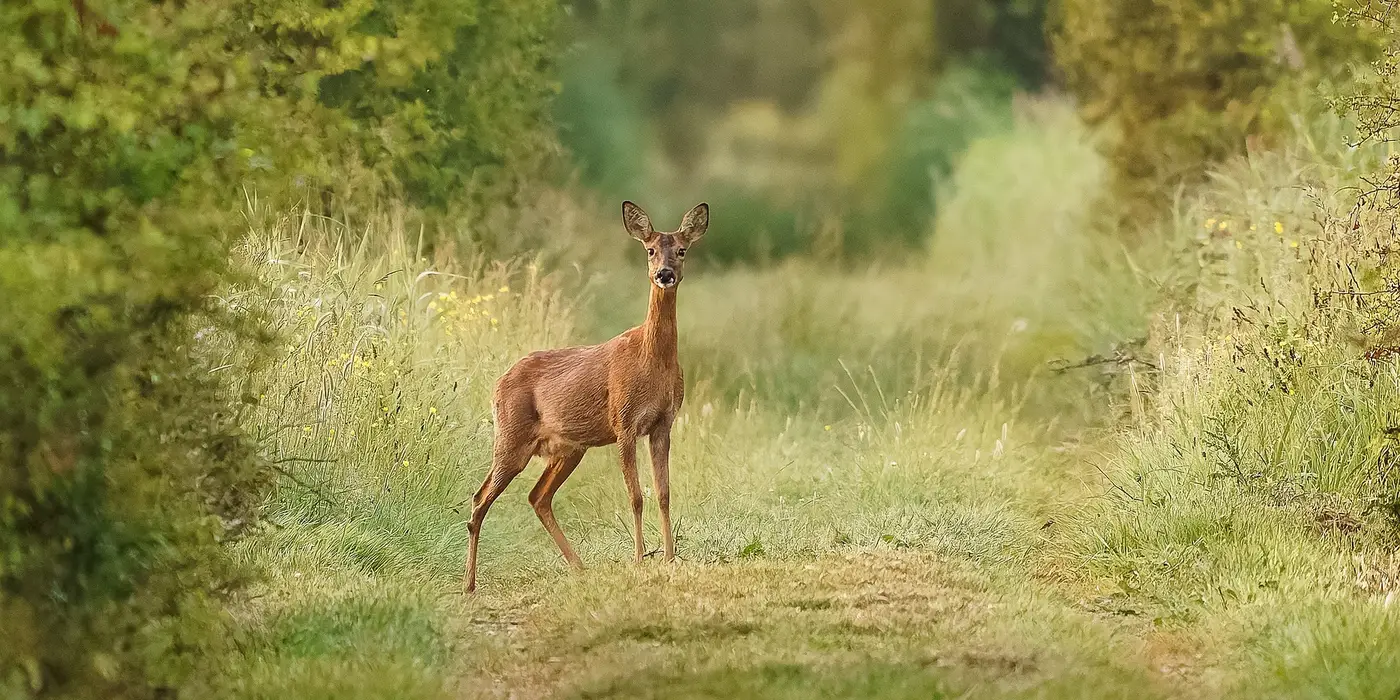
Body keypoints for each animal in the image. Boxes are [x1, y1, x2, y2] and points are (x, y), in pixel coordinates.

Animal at [463, 201, 709, 593]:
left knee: (537, 496)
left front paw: (670, 558)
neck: (653, 360)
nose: (665, 274)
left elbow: (664, 493)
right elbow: (636, 496)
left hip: (568, 448)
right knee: (479, 498)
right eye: (650, 250)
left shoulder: (662, 424)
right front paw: (639, 559)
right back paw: (470, 584)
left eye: (682, 250)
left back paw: (579, 567)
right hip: (511, 438)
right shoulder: (624, 421)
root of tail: (497, 384)